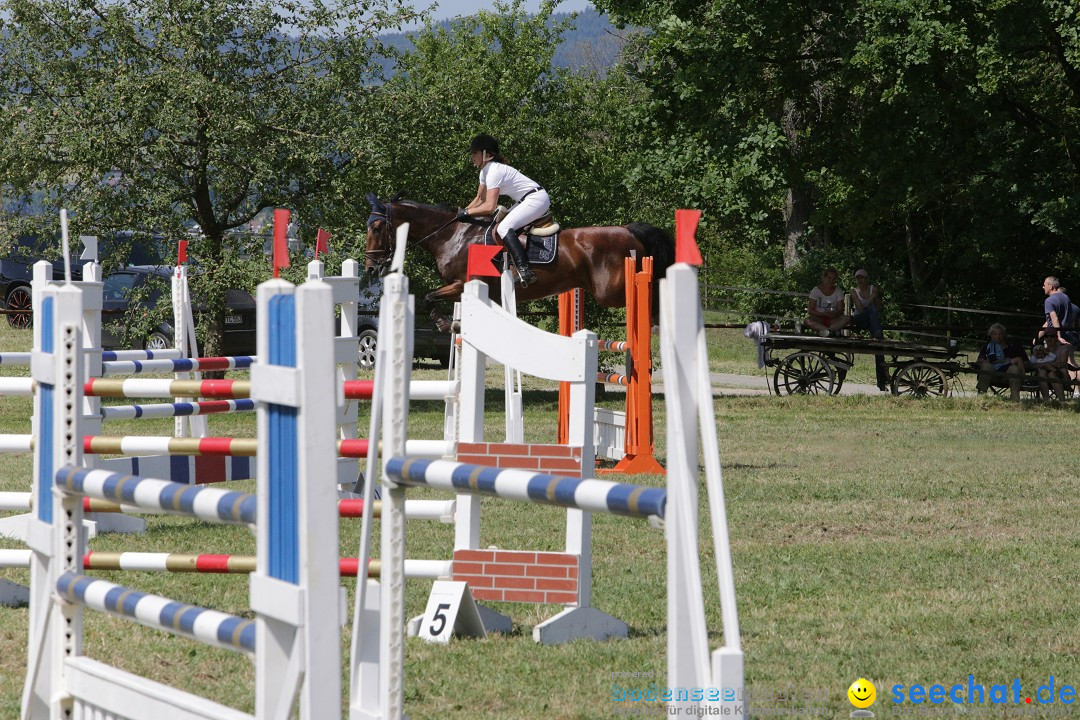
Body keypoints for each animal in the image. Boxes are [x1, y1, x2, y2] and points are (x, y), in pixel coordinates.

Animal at [367, 194, 669, 330]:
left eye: (377, 228)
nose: (371, 267)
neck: (452, 235)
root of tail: (628, 230)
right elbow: (430, 298)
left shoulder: (463, 283)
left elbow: (428, 297)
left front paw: (446, 324)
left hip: (611, 291)